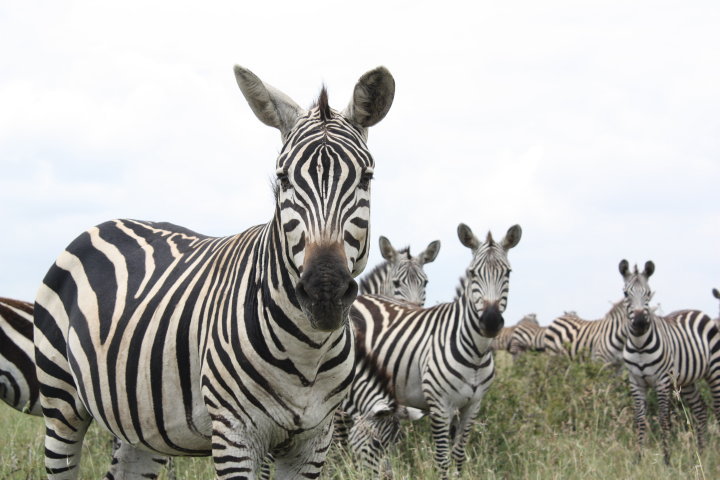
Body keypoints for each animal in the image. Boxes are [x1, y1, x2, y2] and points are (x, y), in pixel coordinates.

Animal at [32, 64, 394, 480]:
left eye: (366, 178)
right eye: (283, 179)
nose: (325, 292)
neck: (309, 353)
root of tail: (104, 224)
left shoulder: (313, 441)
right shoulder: (235, 435)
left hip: (138, 422)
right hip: (60, 400)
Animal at [348, 223, 520, 478]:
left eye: (507, 273)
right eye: (473, 273)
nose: (490, 321)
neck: (476, 353)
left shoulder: (472, 405)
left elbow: (458, 455)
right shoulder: (440, 405)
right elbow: (441, 458)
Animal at [620, 260, 720, 464]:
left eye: (648, 292)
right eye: (626, 293)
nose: (640, 323)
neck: (640, 346)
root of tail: (697, 311)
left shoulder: (662, 380)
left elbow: (663, 418)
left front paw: (667, 460)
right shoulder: (636, 382)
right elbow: (640, 419)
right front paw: (638, 458)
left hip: (714, 370)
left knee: (717, 407)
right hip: (686, 381)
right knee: (700, 409)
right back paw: (701, 453)